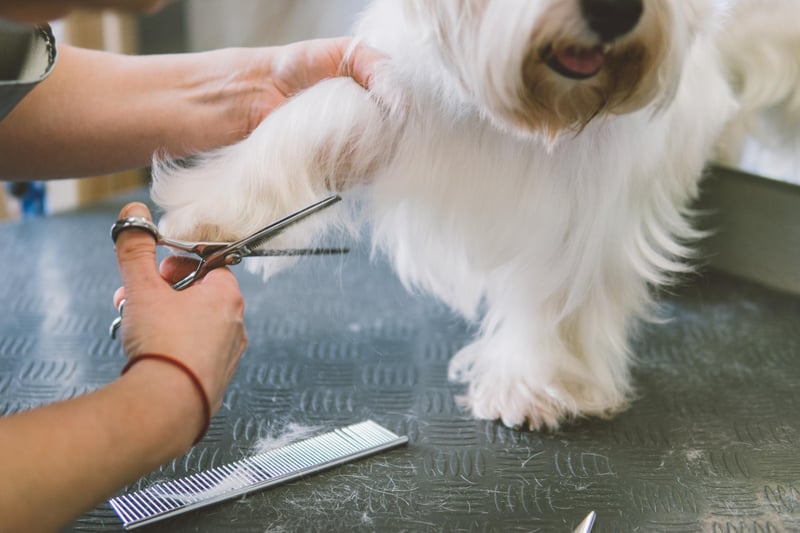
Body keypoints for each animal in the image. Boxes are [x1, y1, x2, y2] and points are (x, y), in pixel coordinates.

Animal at [153, 1, 792, 428]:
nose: (615, 12)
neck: (540, 117)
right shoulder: (403, 85)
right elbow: (329, 105)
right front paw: (216, 213)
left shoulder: (597, 187)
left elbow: (560, 289)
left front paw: (535, 385)